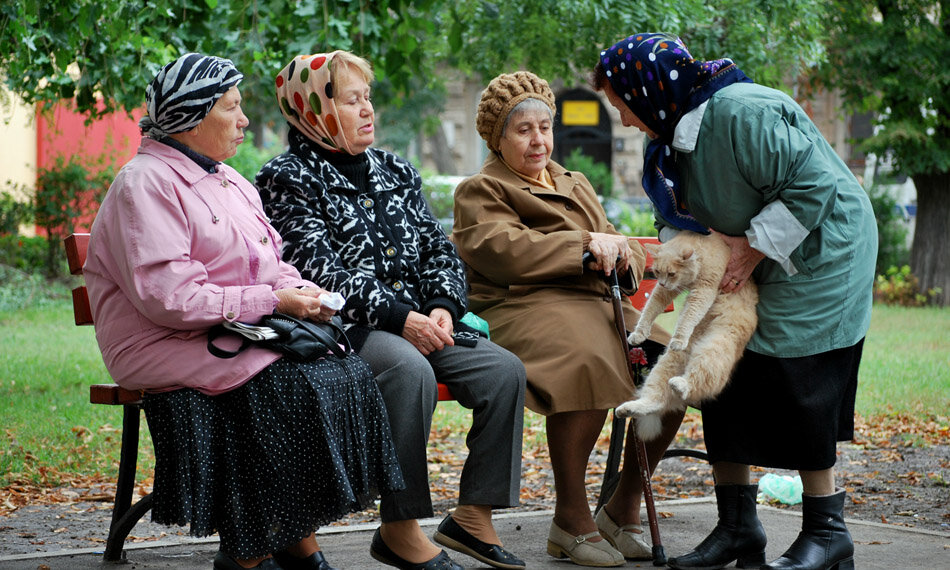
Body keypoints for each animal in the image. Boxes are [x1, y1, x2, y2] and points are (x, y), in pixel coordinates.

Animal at [616, 231, 768, 440]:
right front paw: (639, 333)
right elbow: (650, 309)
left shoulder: (704, 289)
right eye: (657, 272)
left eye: (671, 273)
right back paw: (628, 409)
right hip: (667, 363)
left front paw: (679, 338)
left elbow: (689, 315)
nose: (662, 281)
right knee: (656, 400)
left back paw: (682, 383)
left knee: (699, 382)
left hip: (712, 350)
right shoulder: (665, 291)